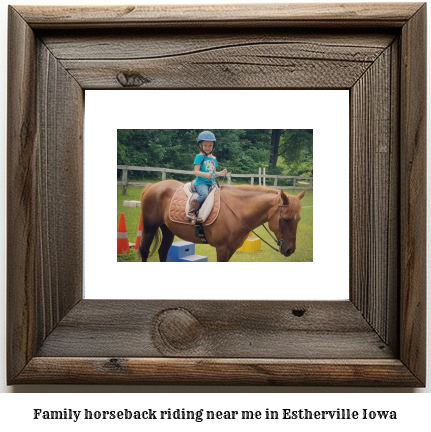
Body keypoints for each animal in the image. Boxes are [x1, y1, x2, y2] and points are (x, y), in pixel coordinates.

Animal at [140, 180, 306, 262]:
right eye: (286, 219)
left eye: (298, 220)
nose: (290, 250)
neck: (237, 210)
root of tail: (153, 186)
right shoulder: (222, 249)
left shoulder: (231, 249)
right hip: (150, 227)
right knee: (144, 251)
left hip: (167, 229)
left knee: (163, 252)